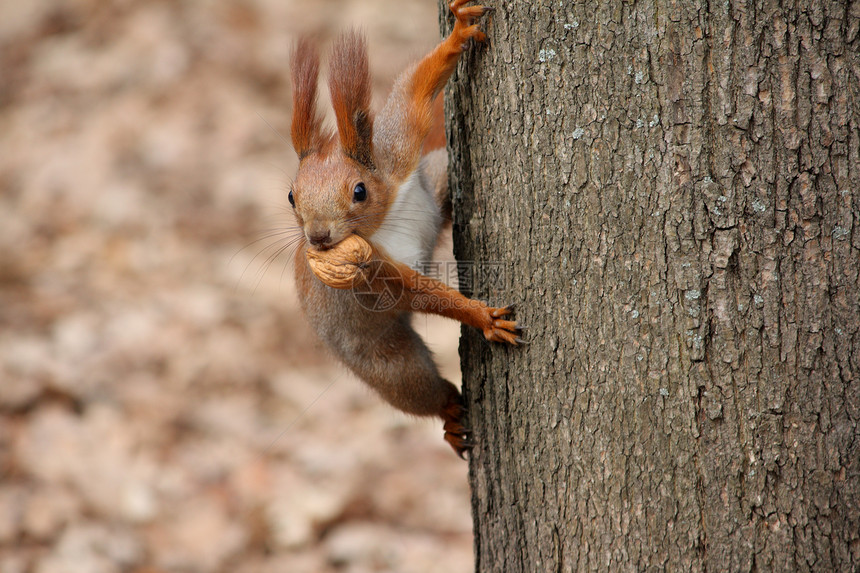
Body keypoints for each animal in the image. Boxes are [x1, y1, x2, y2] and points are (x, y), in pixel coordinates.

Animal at [288, 0, 520, 456]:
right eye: (291, 197)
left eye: (359, 190)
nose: (318, 237)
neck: (383, 220)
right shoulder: (370, 271)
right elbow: (419, 291)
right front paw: (481, 316)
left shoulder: (399, 152)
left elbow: (414, 91)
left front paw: (459, 32)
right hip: (385, 362)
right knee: (421, 390)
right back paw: (449, 415)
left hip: (436, 178)